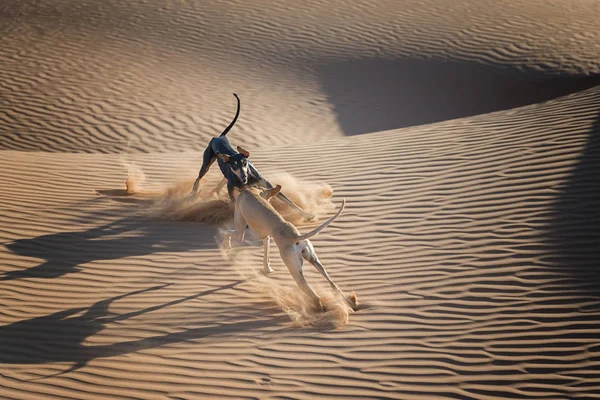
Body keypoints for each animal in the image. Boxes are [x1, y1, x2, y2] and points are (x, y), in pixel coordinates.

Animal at [191, 92, 314, 220]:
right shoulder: (232, 190)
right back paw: (193, 195)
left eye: (245, 163)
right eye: (234, 166)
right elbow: (234, 203)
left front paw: (306, 215)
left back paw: (215, 191)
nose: (244, 177)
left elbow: (289, 201)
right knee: (198, 178)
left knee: (223, 179)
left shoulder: (266, 185)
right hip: (207, 163)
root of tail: (220, 137)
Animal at [224, 184, 356, 312]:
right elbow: (266, 256)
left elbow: (227, 233)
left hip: (295, 272)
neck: (254, 192)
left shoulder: (241, 232)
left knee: (315, 297)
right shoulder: (266, 236)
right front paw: (267, 269)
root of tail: (295, 237)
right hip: (315, 261)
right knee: (333, 284)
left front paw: (226, 246)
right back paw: (351, 303)